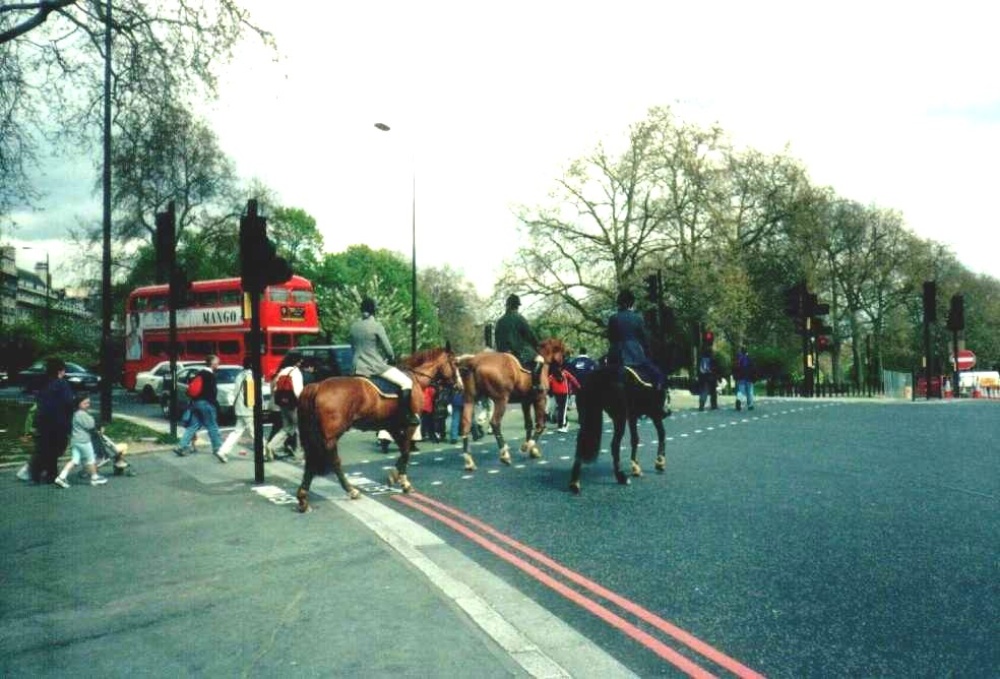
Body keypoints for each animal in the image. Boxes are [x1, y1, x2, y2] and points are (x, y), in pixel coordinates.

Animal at [292, 348, 458, 512]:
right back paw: (351, 491)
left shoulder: (391, 426)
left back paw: (303, 498)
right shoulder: (410, 425)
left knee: (311, 460)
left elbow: (403, 451)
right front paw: (403, 482)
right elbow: (406, 452)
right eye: (455, 363)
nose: (459, 386)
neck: (415, 378)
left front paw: (394, 476)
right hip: (331, 436)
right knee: (333, 462)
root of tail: (317, 386)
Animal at [458, 338, 568, 470]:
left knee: (466, 424)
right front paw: (527, 447)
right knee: (495, 423)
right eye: (563, 354)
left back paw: (468, 460)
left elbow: (529, 425)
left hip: (470, 399)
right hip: (501, 400)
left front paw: (532, 450)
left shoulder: (525, 402)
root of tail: (475, 361)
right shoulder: (540, 399)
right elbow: (540, 425)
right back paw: (504, 455)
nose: (561, 377)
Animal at [572, 366, 672, 494]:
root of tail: (599, 375)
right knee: (615, 445)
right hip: (620, 417)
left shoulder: (633, 416)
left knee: (582, 442)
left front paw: (636, 467)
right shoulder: (654, 414)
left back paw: (574, 482)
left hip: (587, 419)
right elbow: (661, 434)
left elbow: (635, 439)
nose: (668, 412)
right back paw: (621, 477)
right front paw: (660, 462)